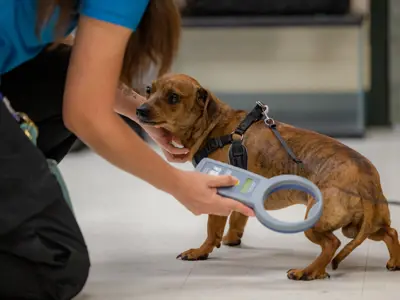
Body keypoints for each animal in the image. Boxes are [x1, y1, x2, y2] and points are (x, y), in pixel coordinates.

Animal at [135, 73, 400, 282]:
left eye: (173, 97)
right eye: (149, 90)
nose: (139, 110)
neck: (215, 127)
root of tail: (366, 180)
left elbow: (212, 230)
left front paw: (200, 251)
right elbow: (238, 218)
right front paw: (232, 239)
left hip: (318, 224)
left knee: (332, 245)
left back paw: (308, 271)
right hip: (358, 228)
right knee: (390, 232)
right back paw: (394, 261)